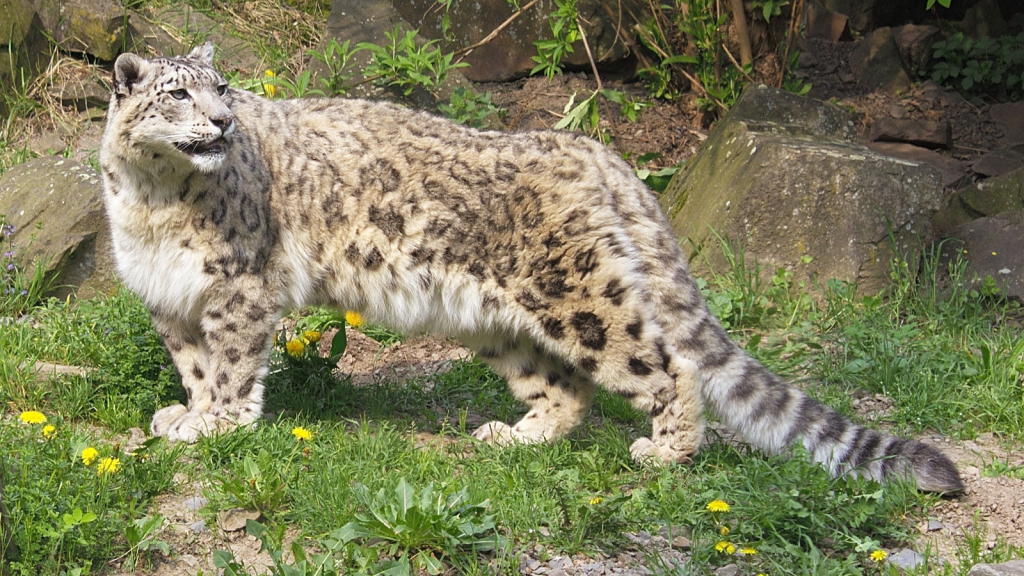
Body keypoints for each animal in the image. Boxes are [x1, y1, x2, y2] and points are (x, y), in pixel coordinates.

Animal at [96, 44, 958, 491]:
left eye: (223, 88)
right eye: (178, 94)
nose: (222, 121)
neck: (153, 198)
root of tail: (593, 149)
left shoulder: (238, 287)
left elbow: (232, 365)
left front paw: (218, 425)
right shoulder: (170, 298)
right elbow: (196, 365)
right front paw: (187, 415)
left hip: (584, 298)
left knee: (665, 366)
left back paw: (668, 450)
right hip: (502, 320)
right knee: (565, 390)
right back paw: (517, 436)